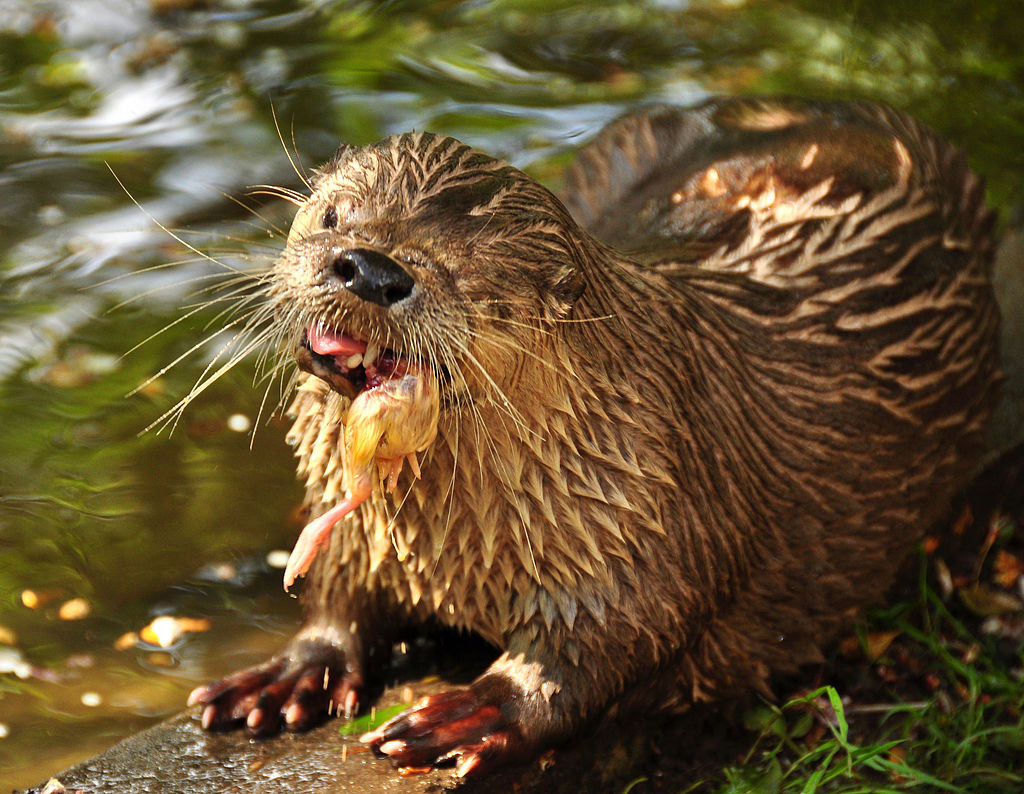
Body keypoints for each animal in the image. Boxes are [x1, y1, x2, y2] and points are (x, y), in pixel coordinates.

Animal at [186, 97, 999, 774]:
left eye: (471, 272)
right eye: (333, 215)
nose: (370, 267)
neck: (462, 550)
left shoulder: (661, 510)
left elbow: (612, 639)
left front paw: (476, 711)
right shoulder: (356, 523)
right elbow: (339, 589)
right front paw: (291, 672)